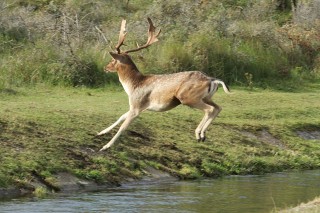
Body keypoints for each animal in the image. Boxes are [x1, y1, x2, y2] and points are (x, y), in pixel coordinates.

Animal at [97, 18, 230, 151]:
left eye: (113, 60)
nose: (105, 67)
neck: (134, 85)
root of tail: (212, 80)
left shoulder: (137, 105)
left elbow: (123, 126)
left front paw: (106, 146)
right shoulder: (136, 107)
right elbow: (121, 117)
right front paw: (101, 132)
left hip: (188, 97)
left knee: (210, 109)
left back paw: (199, 134)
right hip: (206, 97)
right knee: (218, 107)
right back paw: (202, 135)